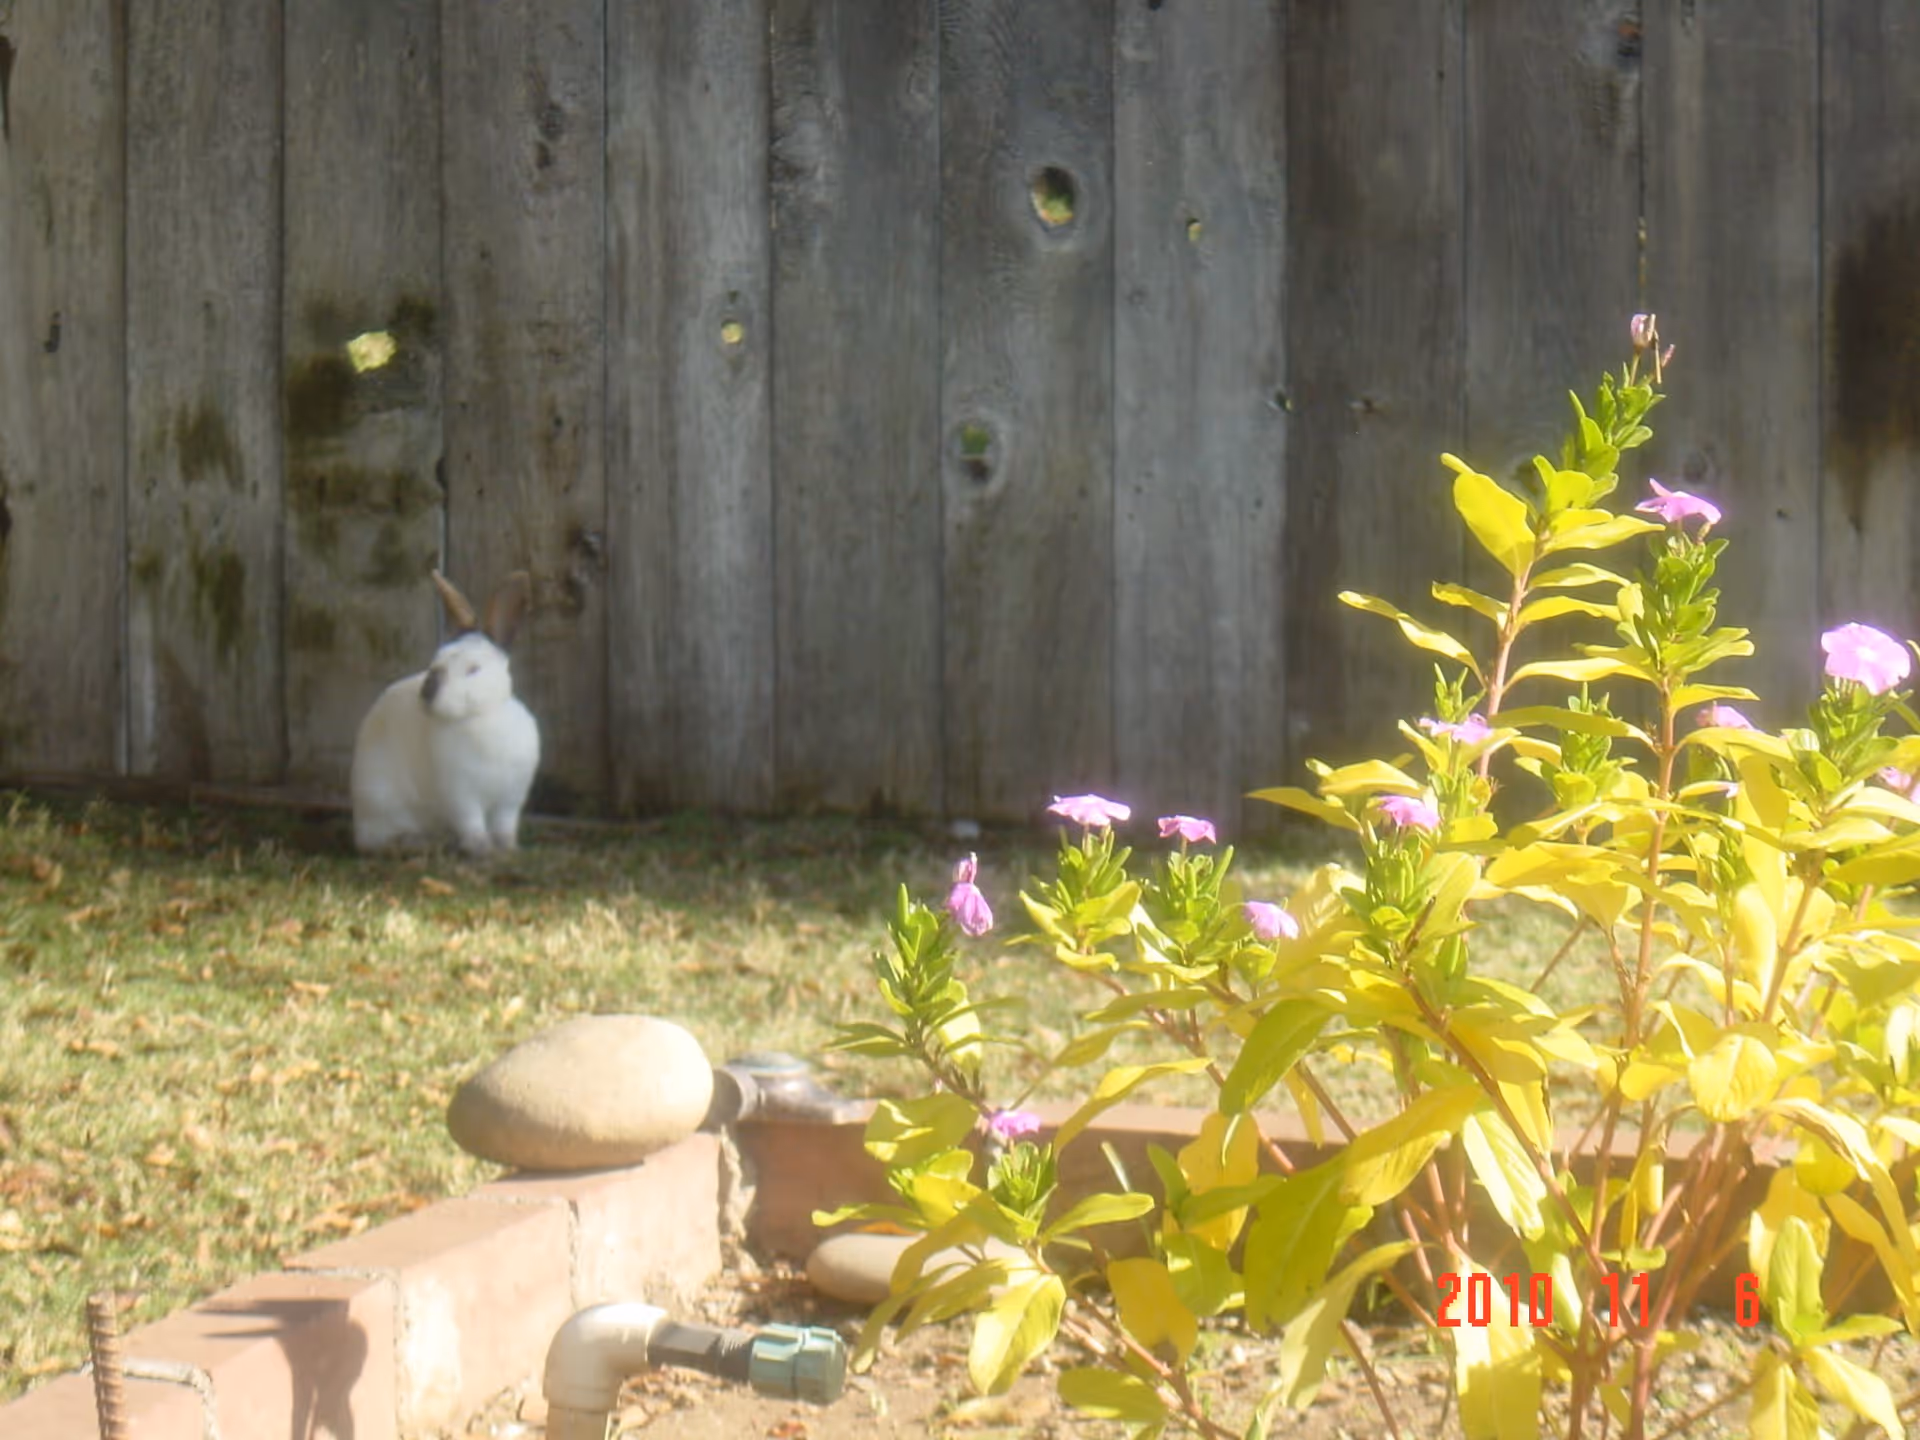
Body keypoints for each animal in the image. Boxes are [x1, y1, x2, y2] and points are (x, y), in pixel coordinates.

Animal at [350, 570, 541, 856]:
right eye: (436, 660)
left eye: (474, 669)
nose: (427, 691)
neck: (480, 716)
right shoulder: (460, 795)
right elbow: (472, 824)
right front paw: (482, 850)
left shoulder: (510, 799)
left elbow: (504, 826)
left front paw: (508, 849)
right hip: (382, 801)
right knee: (377, 840)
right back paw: (417, 842)